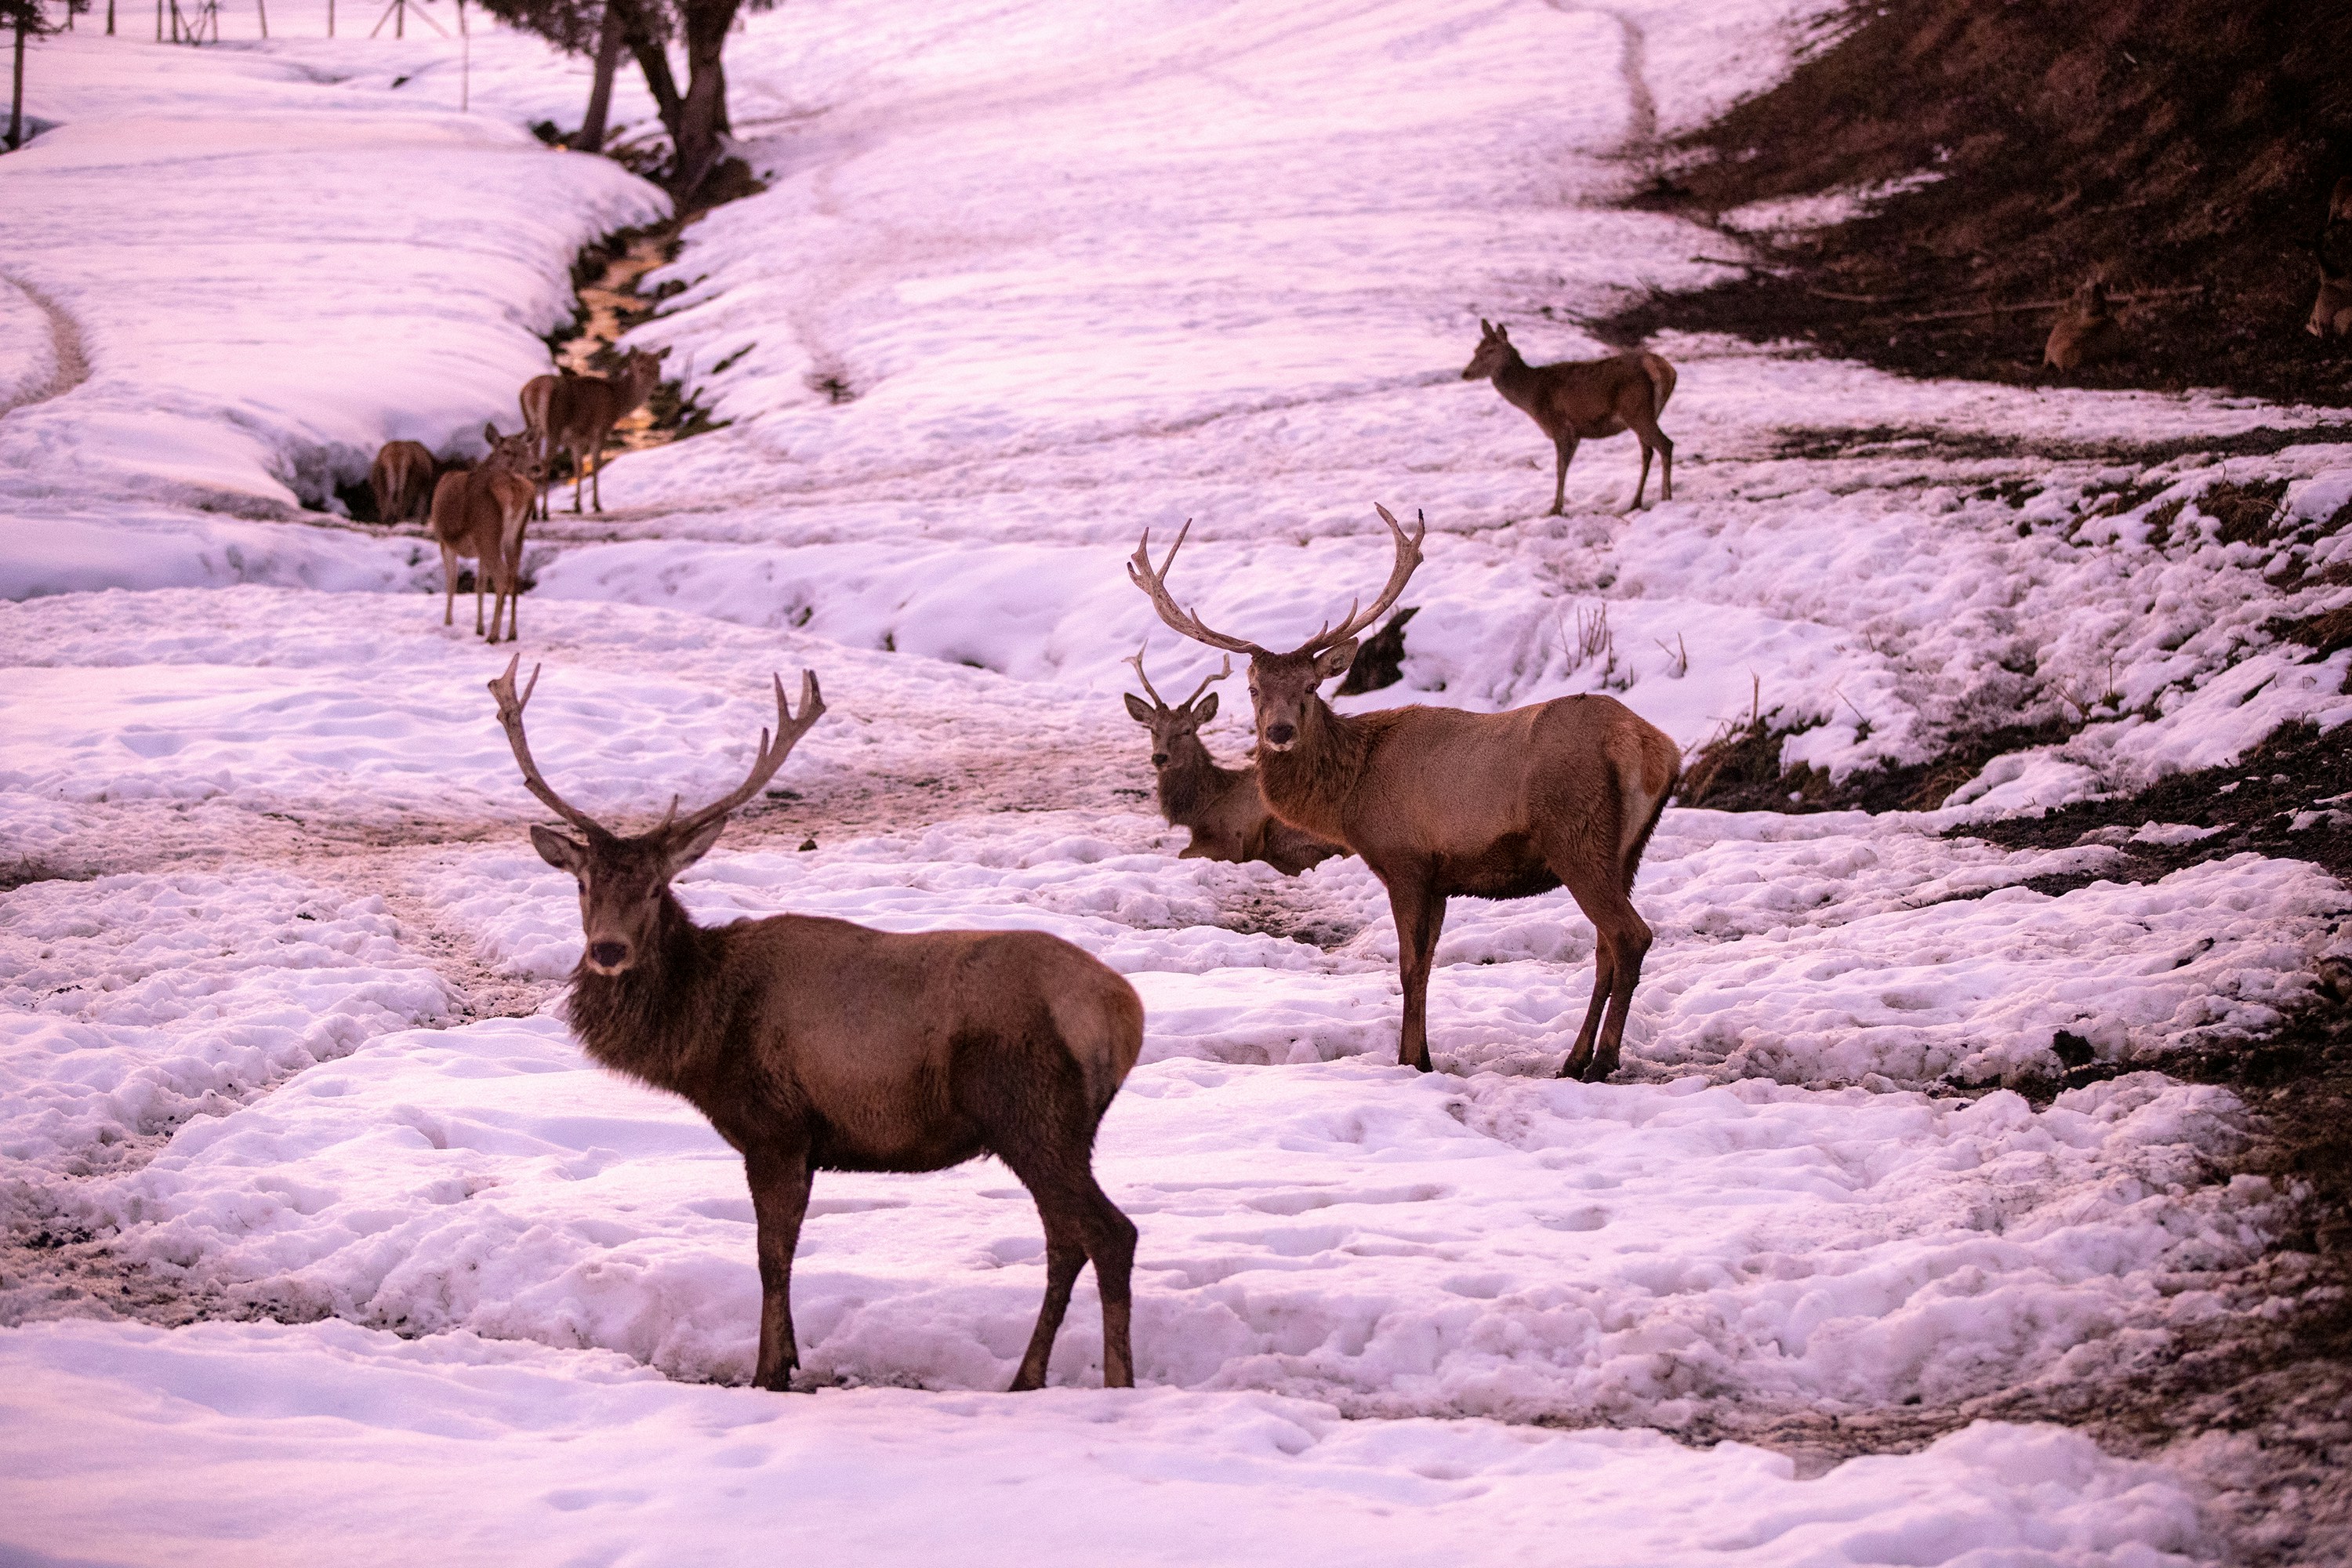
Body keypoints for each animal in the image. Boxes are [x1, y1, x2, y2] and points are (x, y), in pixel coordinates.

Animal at [429, 423, 539, 644]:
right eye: (507, 451)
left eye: (528, 449)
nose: (536, 467)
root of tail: (513, 488)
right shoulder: (479, 549)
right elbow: (479, 584)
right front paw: (479, 627)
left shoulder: (445, 541)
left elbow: (451, 581)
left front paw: (448, 622)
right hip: (515, 535)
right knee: (514, 577)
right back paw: (512, 633)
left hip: (487, 529)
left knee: (502, 577)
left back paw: (493, 635)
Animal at [487, 656, 1143, 1393]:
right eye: (583, 884)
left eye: (656, 887)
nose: (607, 950)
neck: (700, 1033)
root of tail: (1126, 1014)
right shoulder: (799, 1140)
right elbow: (785, 1251)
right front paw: (787, 1357)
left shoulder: (775, 1126)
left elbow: (771, 1254)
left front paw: (769, 1370)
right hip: (1062, 1128)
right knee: (1066, 1239)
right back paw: (1027, 1377)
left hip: (1030, 1110)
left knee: (1109, 1233)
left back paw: (1117, 1381)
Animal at [528, 349, 662, 517]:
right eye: (641, 368)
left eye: (659, 367)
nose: (657, 388)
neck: (618, 401)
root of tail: (536, 390)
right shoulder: (600, 430)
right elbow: (595, 464)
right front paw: (596, 505)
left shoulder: (576, 439)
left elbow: (578, 467)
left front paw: (577, 506)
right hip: (554, 427)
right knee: (545, 462)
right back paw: (545, 512)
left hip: (534, 428)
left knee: (533, 461)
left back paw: (535, 512)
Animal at [1123, 647, 1341, 875]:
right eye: (1152, 729)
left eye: (1187, 730)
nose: (1160, 757)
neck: (1200, 808)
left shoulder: (1228, 839)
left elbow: (1183, 853)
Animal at [1460, 321, 1677, 515]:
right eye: (1475, 349)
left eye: (1490, 351)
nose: (1465, 373)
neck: (1532, 395)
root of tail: (1665, 369)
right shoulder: (1576, 432)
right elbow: (1566, 465)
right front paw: (1558, 505)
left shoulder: (1559, 426)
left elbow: (1560, 467)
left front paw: (1555, 509)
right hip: (1647, 414)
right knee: (1648, 451)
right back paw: (1636, 502)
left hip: (1637, 411)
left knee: (1666, 444)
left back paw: (1666, 498)